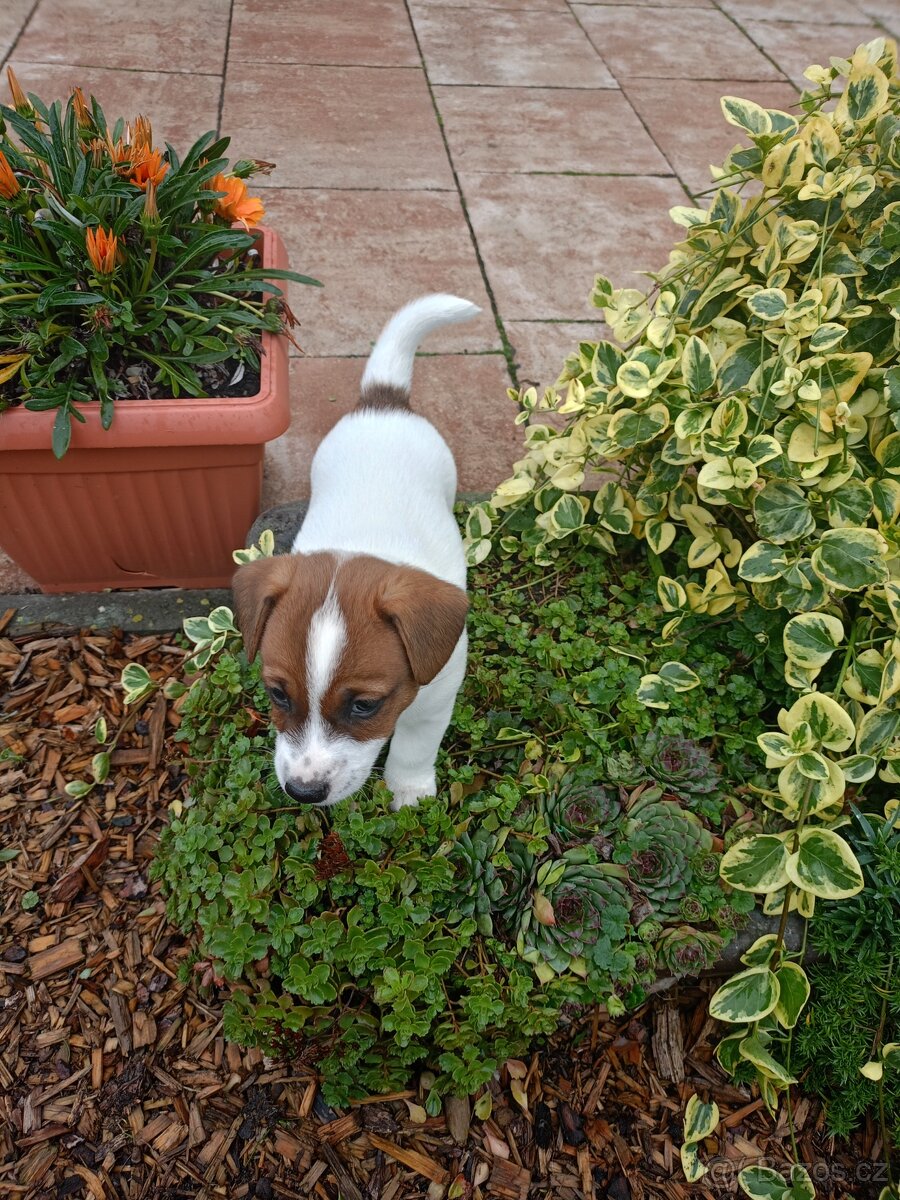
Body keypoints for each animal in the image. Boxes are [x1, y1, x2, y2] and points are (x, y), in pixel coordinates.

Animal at [236, 295, 482, 811]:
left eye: (364, 705)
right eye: (277, 694)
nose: (303, 792)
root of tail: (383, 401)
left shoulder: (436, 697)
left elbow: (413, 746)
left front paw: (409, 791)